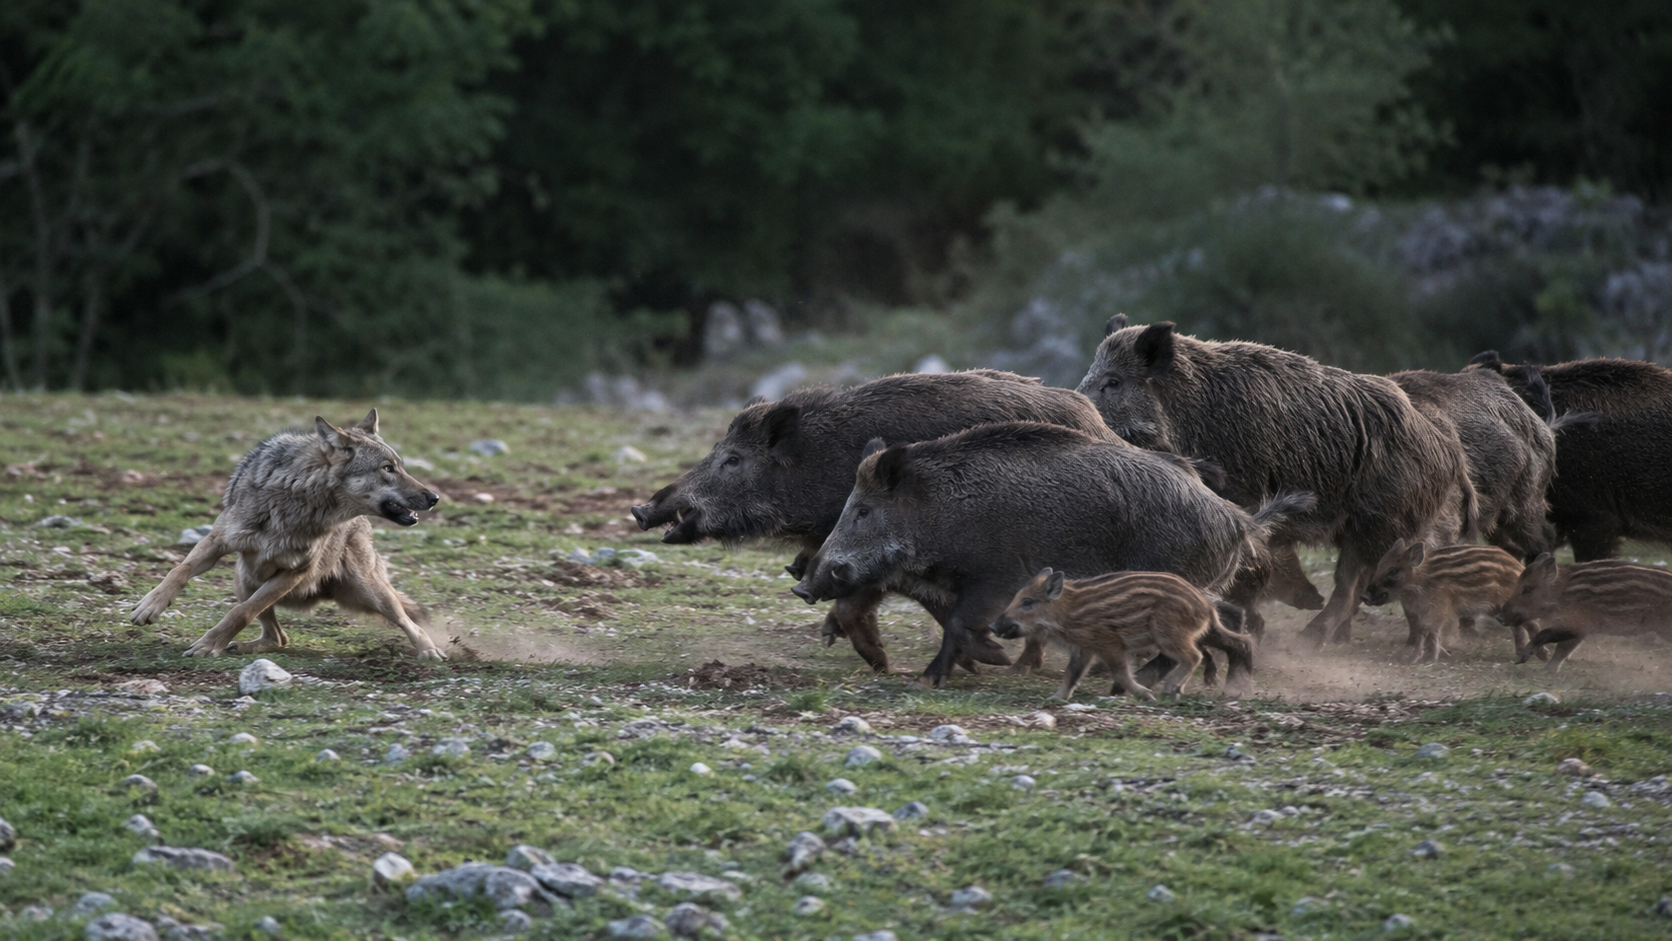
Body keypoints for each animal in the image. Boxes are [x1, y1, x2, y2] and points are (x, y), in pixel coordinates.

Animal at [130, 409, 446, 659]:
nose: (434, 497)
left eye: (400, 467)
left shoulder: (295, 572)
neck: (298, 501)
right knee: (278, 638)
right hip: (244, 577)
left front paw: (208, 645)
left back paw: (430, 651)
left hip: (372, 593)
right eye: (387, 468)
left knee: (410, 622)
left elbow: (241, 613)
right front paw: (150, 606)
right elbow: (179, 571)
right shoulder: (217, 541)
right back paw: (240, 646)